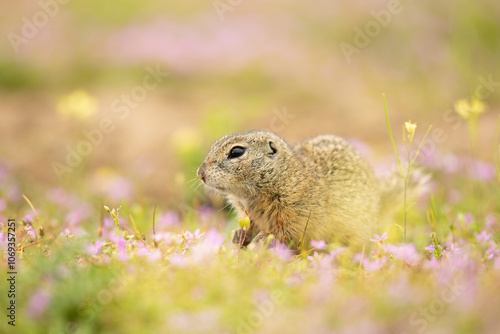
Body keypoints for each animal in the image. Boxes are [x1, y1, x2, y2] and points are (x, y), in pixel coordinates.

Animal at [197, 129, 392, 249]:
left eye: (236, 152)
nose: (200, 173)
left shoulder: (298, 214)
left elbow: (288, 232)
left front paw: (262, 239)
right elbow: (250, 224)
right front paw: (239, 235)